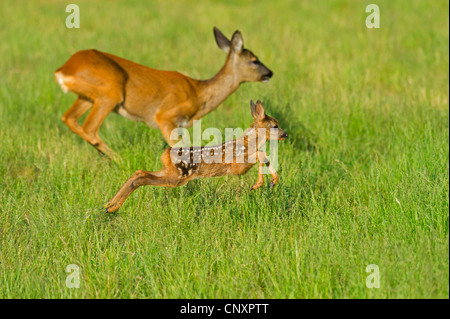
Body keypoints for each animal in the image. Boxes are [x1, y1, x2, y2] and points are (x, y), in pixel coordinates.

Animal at [56, 26, 274, 159]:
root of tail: (63, 70)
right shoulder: (164, 116)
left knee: (69, 118)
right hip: (110, 93)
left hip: (87, 96)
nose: (270, 73)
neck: (199, 93)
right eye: (254, 60)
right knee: (89, 127)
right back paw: (118, 159)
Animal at [103, 100, 286, 214]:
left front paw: (271, 182)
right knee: (142, 177)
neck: (248, 142)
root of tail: (166, 153)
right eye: (275, 125)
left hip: (170, 172)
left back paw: (108, 205)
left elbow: (263, 155)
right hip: (178, 176)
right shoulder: (237, 165)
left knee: (139, 172)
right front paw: (260, 184)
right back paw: (112, 207)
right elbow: (261, 154)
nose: (285, 134)